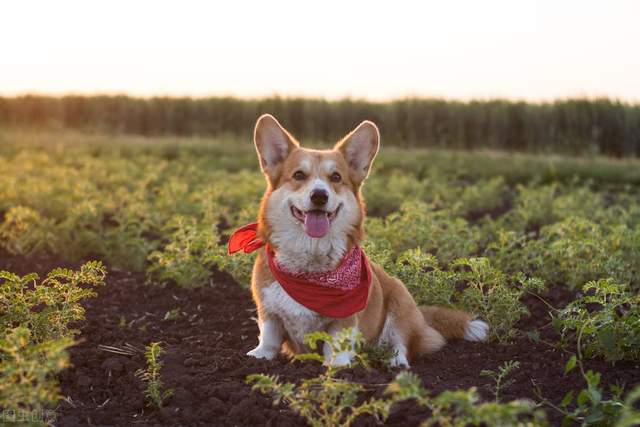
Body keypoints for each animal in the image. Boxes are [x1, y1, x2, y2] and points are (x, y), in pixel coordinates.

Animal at [238, 113, 488, 368]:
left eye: (336, 177)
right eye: (299, 175)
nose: (319, 196)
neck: (310, 266)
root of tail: (421, 315)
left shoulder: (345, 318)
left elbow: (336, 343)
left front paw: (337, 366)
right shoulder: (268, 311)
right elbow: (269, 335)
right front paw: (259, 356)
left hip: (400, 301)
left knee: (401, 343)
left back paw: (396, 362)